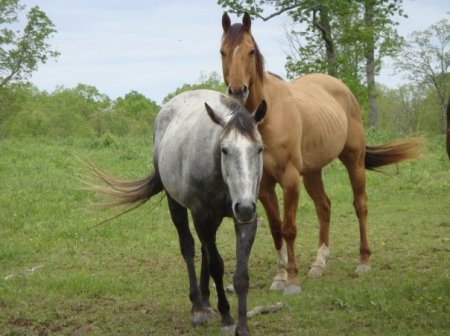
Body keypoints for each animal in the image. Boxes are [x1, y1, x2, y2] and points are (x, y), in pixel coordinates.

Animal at [88, 90, 268, 336]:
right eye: (225, 150)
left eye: (259, 148)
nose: (245, 207)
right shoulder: (202, 216)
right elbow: (216, 265)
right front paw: (227, 318)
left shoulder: (244, 220)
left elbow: (240, 275)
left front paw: (242, 326)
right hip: (178, 206)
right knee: (189, 248)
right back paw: (198, 306)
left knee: (203, 250)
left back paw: (206, 300)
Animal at [220, 13, 424, 294]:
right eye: (222, 51)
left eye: (250, 51)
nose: (238, 91)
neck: (267, 117)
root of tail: (341, 88)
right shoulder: (264, 186)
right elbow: (275, 229)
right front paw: (279, 278)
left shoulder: (290, 179)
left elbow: (289, 228)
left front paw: (292, 281)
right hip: (312, 172)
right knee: (324, 207)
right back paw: (319, 264)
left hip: (353, 162)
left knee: (360, 206)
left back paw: (363, 262)